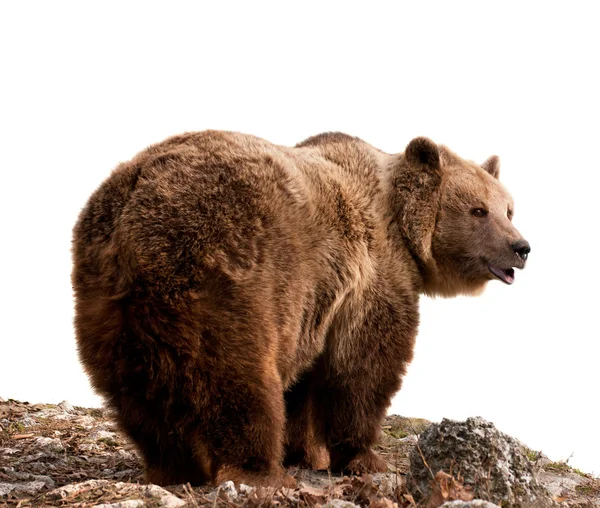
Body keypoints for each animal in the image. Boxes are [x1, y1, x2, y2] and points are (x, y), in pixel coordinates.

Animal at [71, 130, 528, 488]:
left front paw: (306, 451)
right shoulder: (371, 278)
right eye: (478, 210)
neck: (401, 228)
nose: (521, 247)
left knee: (139, 394)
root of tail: (133, 211)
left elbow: (308, 381)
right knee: (240, 377)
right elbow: (363, 367)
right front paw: (361, 455)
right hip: (227, 270)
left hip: (111, 305)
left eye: (508, 209)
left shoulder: (320, 304)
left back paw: (174, 467)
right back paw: (258, 469)